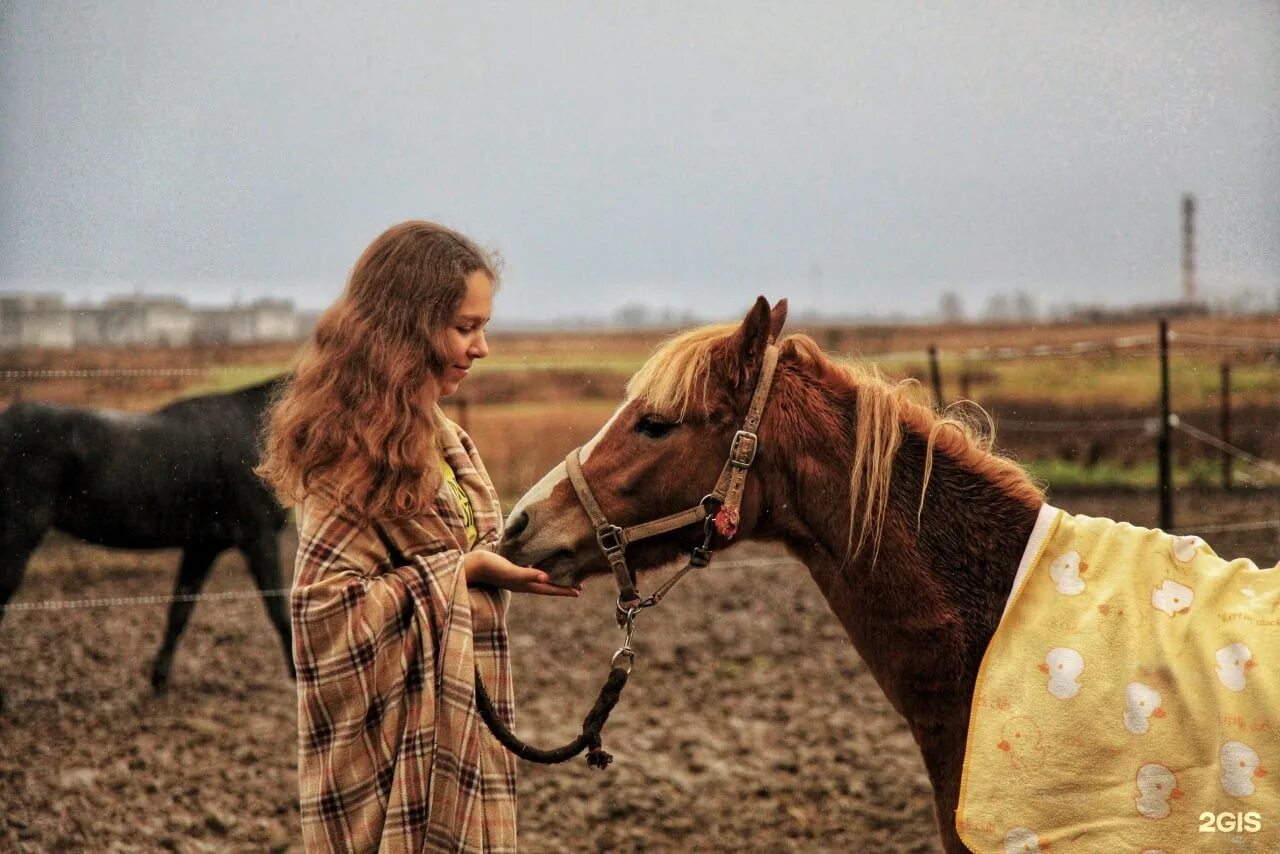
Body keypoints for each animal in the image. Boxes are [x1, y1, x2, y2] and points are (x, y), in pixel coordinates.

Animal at [0, 376, 293, 706]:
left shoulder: (203, 546)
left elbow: (179, 611)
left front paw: (159, 680)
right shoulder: (258, 537)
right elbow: (280, 610)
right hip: (20, 532)